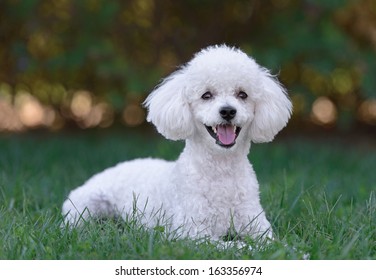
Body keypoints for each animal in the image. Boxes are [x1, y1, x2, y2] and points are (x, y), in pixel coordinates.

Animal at [62, 45, 290, 241]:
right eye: (206, 95)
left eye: (242, 94)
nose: (227, 111)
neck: (221, 171)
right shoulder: (194, 234)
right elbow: (235, 247)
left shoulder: (256, 223)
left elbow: (277, 245)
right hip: (85, 206)